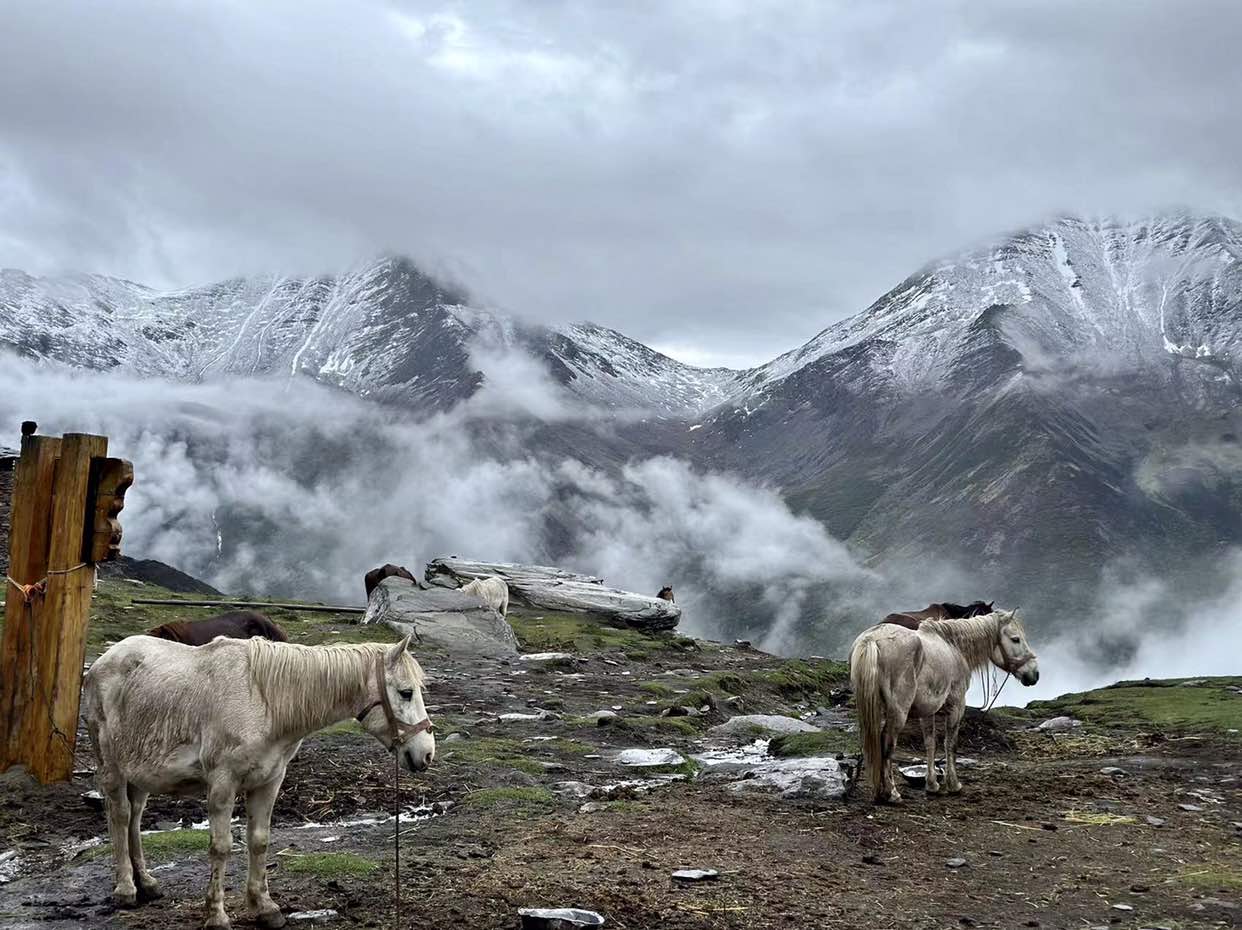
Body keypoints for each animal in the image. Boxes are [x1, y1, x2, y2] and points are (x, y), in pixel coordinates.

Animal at [82, 630, 432, 923]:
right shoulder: (222, 784)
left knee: (135, 817)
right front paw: (217, 915)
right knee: (120, 815)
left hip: (139, 772)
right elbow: (221, 847)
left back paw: (146, 882)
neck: (264, 701)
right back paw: (126, 888)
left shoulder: (269, 782)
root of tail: (101, 662)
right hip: (112, 767)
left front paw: (264, 906)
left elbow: (259, 842)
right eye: (405, 692)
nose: (426, 754)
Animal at [844, 605, 1038, 799]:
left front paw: (932, 784)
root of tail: (872, 639)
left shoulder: (926, 711)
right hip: (898, 713)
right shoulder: (957, 707)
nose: (1034, 675)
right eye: (1016, 639)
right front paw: (954, 784)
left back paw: (879, 791)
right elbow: (950, 744)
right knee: (887, 745)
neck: (954, 647)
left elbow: (930, 744)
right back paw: (892, 793)